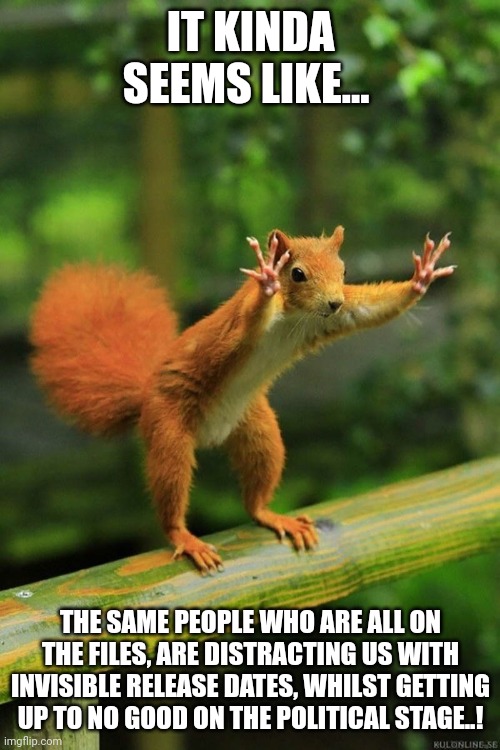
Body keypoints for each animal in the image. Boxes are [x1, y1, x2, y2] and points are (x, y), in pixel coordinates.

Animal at [30, 227, 454, 573]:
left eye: (345, 271)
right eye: (296, 273)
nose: (333, 301)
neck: (294, 316)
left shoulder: (334, 318)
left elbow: (368, 309)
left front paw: (422, 278)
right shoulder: (238, 326)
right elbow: (248, 321)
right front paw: (266, 278)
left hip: (257, 429)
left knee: (255, 493)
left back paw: (271, 515)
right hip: (168, 429)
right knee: (170, 487)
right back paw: (184, 536)